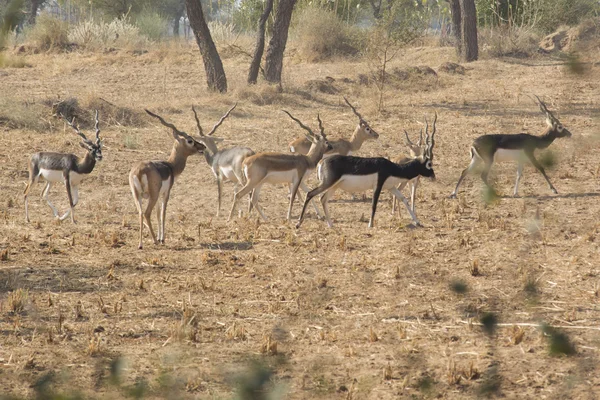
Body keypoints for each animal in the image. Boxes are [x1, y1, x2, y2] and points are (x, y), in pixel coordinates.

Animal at [129, 108, 206, 248]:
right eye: (190, 140)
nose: (203, 147)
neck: (170, 166)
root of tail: (139, 170)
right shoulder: (166, 193)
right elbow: (163, 213)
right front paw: (162, 239)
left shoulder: (159, 195)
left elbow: (158, 213)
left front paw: (160, 237)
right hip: (152, 195)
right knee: (147, 213)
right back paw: (154, 241)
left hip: (137, 195)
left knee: (140, 213)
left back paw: (140, 244)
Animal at [296, 117, 436, 228]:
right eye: (429, 164)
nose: (434, 177)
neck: (391, 167)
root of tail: (322, 162)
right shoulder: (378, 186)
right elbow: (374, 204)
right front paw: (370, 224)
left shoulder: (391, 187)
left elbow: (404, 199)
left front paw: (417, 221)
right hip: (327, 183)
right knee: (310, 194)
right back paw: (298, 223)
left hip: (334, 186)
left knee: (323, 198)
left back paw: (330, 224)